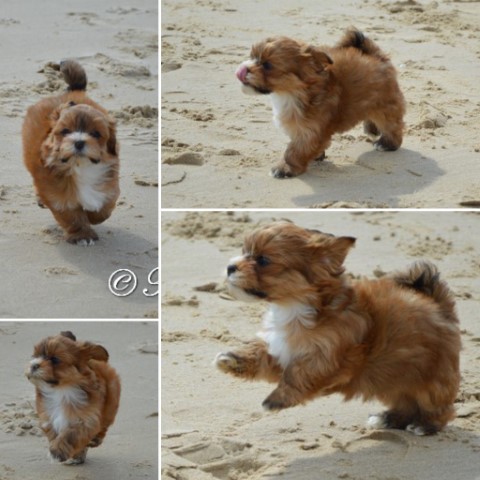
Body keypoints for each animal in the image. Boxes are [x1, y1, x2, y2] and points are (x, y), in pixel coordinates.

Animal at [25, 332, 121, 464]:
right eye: (35, 356)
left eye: (55, 359)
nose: (34, 365)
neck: (62, 389)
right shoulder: (48, 418)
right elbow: (54, 434)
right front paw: (71, 453)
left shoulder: (85, 419)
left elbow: (71, 435)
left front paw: (57, 451)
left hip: (111, 401)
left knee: (104, 425)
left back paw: (95, 440)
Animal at [217, 221, 462, 436]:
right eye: (245, 251)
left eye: (263, 260)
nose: (230, 267)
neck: (296, 306)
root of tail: (439, 306)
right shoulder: (283, 349)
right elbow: (261, 356)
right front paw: (231, 360)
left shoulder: (330, 356)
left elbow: (298, 374)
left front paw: (275, 400)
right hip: (394, 378)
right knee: (405, 402)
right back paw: (388, 418)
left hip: (431, 378)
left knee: (437, 406)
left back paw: (424, 425)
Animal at [234, 30, 404, 180]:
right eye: (252, 56)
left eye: (267, 65)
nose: (243, 69)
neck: (293, 92)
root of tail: (376, 56)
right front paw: (316, 156)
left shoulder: (310, 130)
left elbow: (295, 150)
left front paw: (285, 168)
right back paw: (371, 128)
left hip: (385, 105)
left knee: (392, 125)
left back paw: (387, 143)